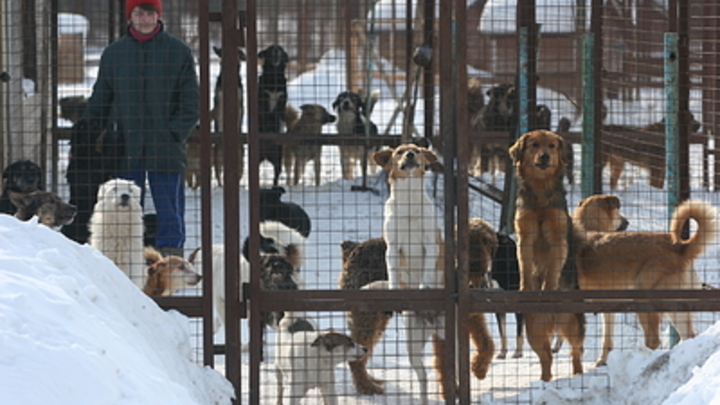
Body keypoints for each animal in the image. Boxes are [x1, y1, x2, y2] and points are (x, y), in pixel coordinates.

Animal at [506, 130, 584, 382]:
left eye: (551, 145)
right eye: (534, 145)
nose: (544, 156)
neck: (540, 193)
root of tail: (553, 320)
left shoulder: (558, 237)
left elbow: (551, 270)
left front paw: (547, 288)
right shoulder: (525, 235)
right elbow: (525, 265)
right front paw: (526, 287)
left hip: (572, 323)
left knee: (576, 352)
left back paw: (577, 375)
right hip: (534, 330)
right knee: (546, 357)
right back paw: (544, 381)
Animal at [572, 199, 716, 366]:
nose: (627, 222)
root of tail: (679, 247)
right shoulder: (607, 306)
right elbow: (606, 339)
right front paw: (602, 361)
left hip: (644, 302)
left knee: (653, 341)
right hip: (675, 309)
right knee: (688, 336)